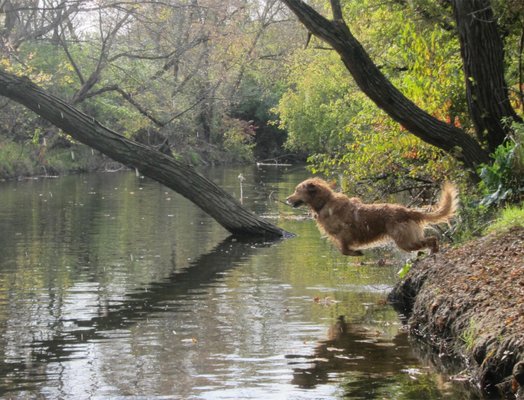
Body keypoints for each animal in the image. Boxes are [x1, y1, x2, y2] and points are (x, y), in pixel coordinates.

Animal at [286, 179, 458, 256]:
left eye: (296, 190)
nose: (287, 199)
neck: (324, 203)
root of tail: (407, 211)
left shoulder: (346, 233)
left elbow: (343, 249)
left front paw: (356, 252)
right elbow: (342, 249)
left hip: (405, 241)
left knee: (432, 239)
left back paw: (434, 251)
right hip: (407, 240)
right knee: (431, 239)